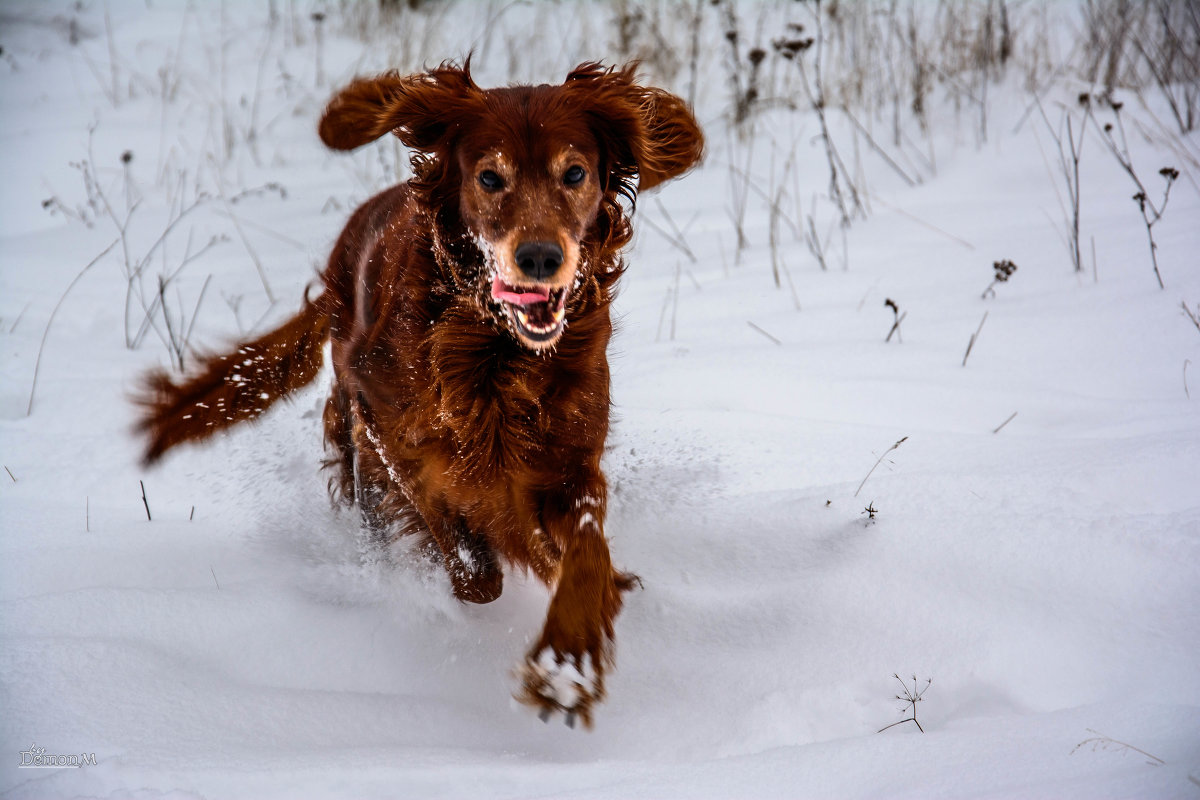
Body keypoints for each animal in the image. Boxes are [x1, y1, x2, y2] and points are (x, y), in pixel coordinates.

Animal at [136, 59, 700, 729]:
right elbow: (470, 562)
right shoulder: (395, 436)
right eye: (490, 177)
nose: (540, 258)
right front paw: (496, 567)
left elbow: (586, 554)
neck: (493, 348)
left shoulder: (571, 460)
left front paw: (568, 664)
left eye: (575, 173)